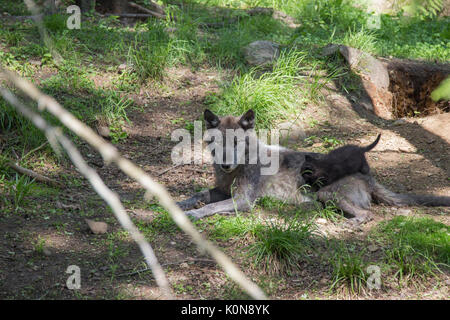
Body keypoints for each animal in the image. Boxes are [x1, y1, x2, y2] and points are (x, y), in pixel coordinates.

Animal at [178, 110, 450, 225]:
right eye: (218, 143)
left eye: (236, 143)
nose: (224, 164)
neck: (241, 165)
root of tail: (368, 177)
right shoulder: (223, 191)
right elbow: (200, 194)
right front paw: (180, 204)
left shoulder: (243, 201)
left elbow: (210, 207)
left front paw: (193, 214)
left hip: (327, 194)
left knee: (367, 214)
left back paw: (350, 223)